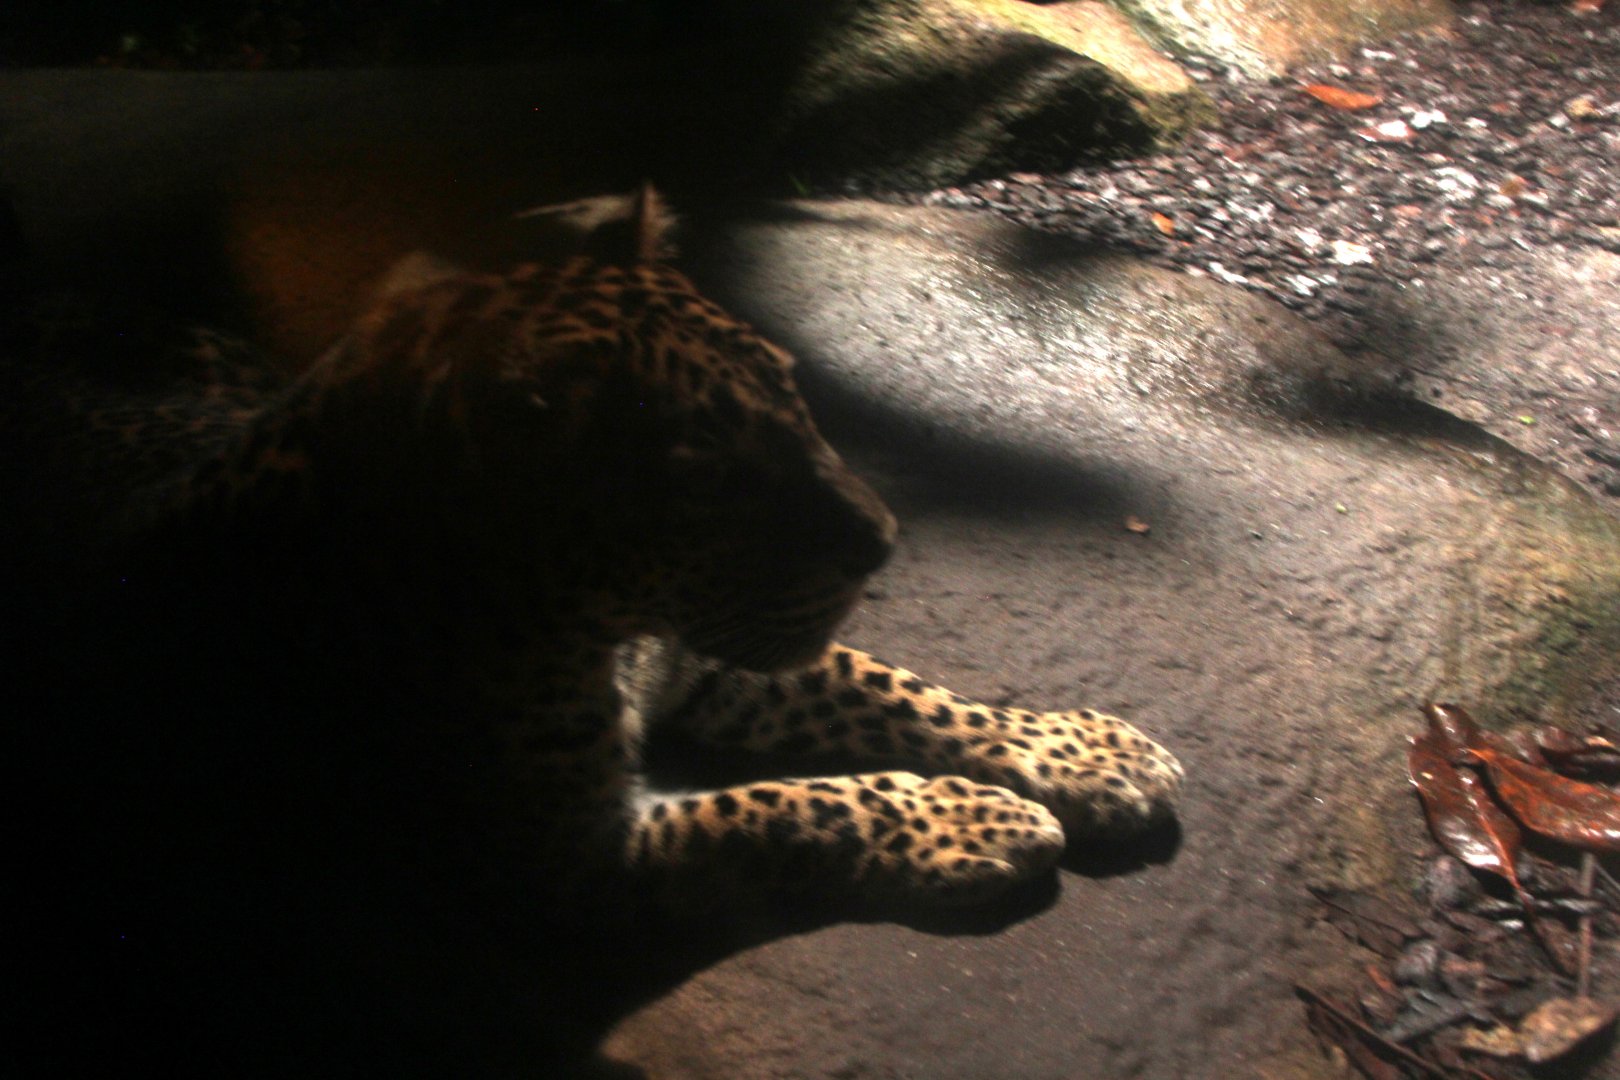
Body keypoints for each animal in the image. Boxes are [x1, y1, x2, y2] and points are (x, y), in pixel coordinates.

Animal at [6, 187, 1180, 933]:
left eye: (792, 389)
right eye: (705, 476)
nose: (883, 542)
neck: (594, 620)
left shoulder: (710, 656)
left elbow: (901, 694)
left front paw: (1086, 752)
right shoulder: (570, 861)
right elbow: (800, 806)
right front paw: (969, 820)